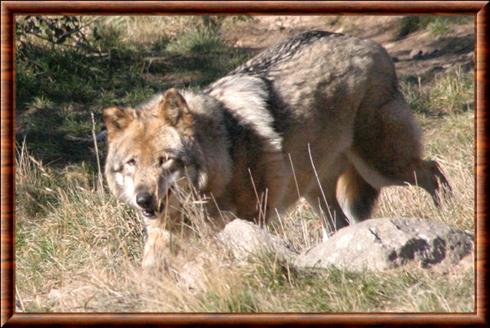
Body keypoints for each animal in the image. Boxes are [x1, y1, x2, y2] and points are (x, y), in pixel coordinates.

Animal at [104, 30, 452, 266]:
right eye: (132, 163)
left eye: (165, 160)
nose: (143, 199)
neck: (224, 155)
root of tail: (367, 43)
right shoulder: (162, 236)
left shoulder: (250, 219)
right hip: (319, 190)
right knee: (341, 223)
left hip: (382, 168)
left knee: (433, 170)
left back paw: (447, 213)